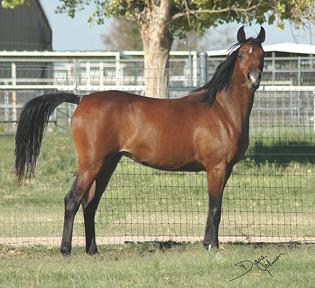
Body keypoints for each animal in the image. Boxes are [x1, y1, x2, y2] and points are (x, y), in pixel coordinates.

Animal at [15, 27, 266, 255]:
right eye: (241, 54)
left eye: (261, 54)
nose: (253, 79)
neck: (221, 110)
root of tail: (82, 99)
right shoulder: (216, 168)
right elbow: (215, 208)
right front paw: (212, 246)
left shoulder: (226, 169)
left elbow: (216, 208)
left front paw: (209, 243)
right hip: (90, 165)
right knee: (72, 200)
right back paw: (66, 250)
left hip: (107, 165)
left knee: (90, 204)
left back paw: (93, 250)